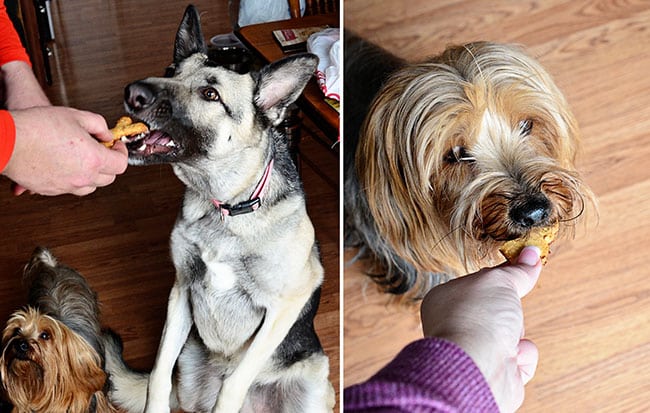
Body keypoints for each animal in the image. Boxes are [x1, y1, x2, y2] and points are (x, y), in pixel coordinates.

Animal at [102, 6, 334, 412]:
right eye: (170, 71)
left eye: (210, 93)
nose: (133, 93)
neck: (228, 206)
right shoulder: (181, 290)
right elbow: (158, 374)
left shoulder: (286, 305)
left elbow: (235, 382)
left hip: (315, 385)